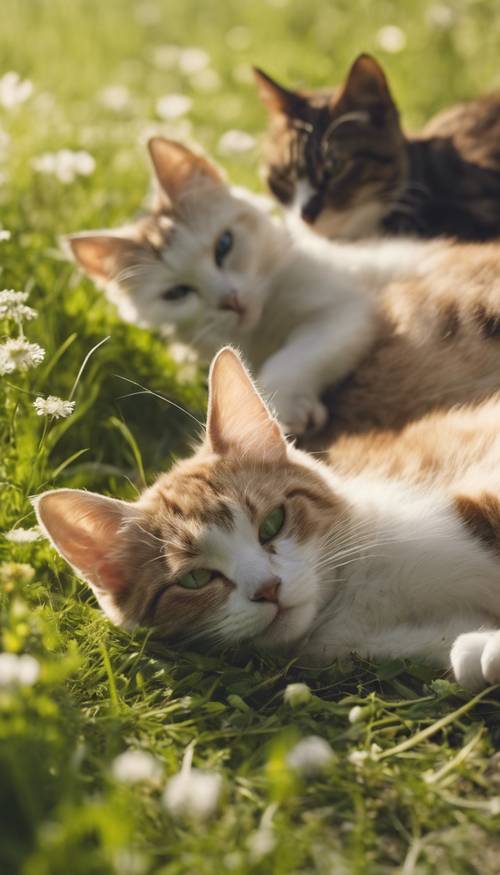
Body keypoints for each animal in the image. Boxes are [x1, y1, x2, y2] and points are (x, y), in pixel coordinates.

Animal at [36, 346, 500, 696]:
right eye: (194, 579)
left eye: (272, 523)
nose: (268, 589)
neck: (352, 599)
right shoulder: (383, 640)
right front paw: (483, 652)